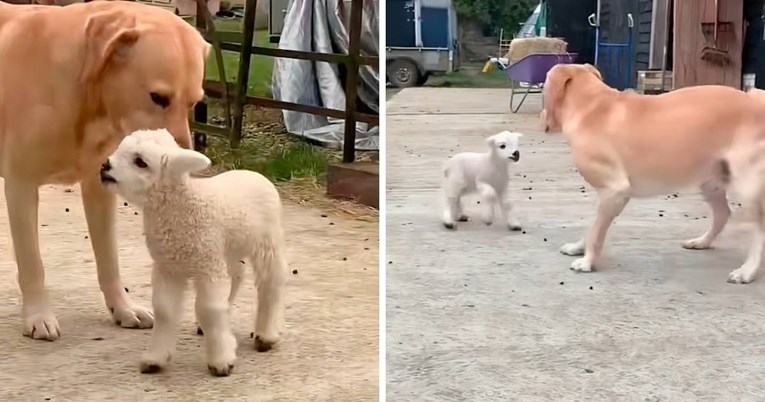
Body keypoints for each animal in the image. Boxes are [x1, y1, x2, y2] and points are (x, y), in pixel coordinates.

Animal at [0, 0, 209, 340]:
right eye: (158, 98)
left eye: (194, 102)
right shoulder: (21, 185)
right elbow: (32, 263)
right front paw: (38, 315)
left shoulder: (100, 188)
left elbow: (109, 259)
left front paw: (122, 308)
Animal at [97, 129, 286, 376]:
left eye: (141, 162)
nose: (105, 166)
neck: (182, 205)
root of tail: (255, 174)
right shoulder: (168, 267)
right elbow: (165, 311)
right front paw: (155, 359)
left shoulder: (206, 265)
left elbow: (209, 309)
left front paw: (221, 361)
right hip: (227, 250)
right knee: (236, 276)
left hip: (267, 242)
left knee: (270, 284)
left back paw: (266, 336)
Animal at [540, 62, 764, 282]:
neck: (591, 105)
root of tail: (755, 101)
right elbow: (593, 225)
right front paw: (579, 247)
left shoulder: (615, 191)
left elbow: (596, 231)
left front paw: (588, 261)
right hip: (711, 183)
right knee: (722, 214)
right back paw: (702, 241)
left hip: (747, 187)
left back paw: (747, 271)